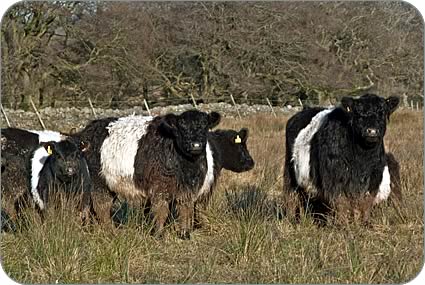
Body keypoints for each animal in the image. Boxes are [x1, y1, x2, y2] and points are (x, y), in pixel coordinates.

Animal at [72, 108, 219, 237]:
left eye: (205, 125)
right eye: (182, 126)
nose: (196, 145)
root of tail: (86, 132)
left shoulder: (188, 189)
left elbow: (186, 210)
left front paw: (185, 234)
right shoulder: (160, 188)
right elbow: (161, 211)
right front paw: (159, 234)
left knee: (90, 207)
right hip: (98, 181)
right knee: (101, 205)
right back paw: (111, 232)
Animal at [284, 93, 400, 222]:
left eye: (382, 113)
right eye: (358, 113)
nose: (372, 131)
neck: (362, 160)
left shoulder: (373, 179)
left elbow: (365, 204)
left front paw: (363, 223)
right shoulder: (336, 180)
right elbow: (342, 205)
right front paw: (344, 224)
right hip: (290, 174)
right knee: (292, 197)